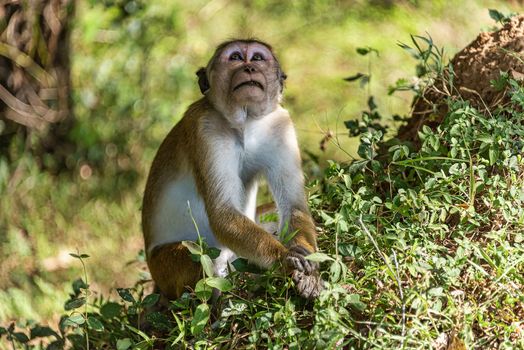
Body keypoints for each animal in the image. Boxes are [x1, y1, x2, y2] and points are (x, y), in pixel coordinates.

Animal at [143, 39, 324, 300]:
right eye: (236, 57)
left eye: (257, 58)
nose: (249, 68)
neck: (246, 121)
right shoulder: (205, 128)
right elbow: (222, 214)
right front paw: (285, 259)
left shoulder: (280, 125)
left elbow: (294, 206)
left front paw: (309, 266)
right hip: (163, 269)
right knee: (200, 255)